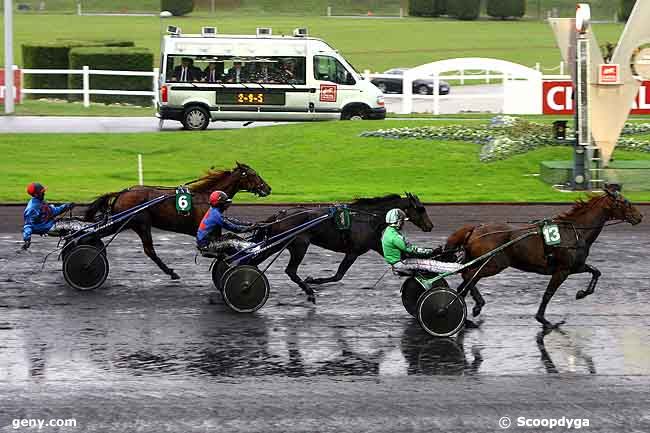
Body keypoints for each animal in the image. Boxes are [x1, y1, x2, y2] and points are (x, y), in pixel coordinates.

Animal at [83, 163, 270, 280]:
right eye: (254, 174)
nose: (268, 188)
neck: (207, 198)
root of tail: (122, 192)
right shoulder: (211, 233)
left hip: (127, 223)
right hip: (139, 223)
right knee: (149, 250)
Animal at [249, 192, 436, 300]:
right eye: (421, 209)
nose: (430, 226)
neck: (368, 218)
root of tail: (279, 215)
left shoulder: (375, 244)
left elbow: (404, 257)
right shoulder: (353, 252)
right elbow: (338, 275)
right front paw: (313, 280)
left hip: (277, 243)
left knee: (257, 260)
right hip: (299, 245)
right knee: (290, 270)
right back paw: (309, 291)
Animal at [442, 184, 640, 330]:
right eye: (624, 202)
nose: (640, 216)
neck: (574, 231)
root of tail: (476, 228)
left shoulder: (575, 266)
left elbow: (596, 272)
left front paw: (582, 293)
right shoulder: (562, 270)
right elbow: (548, 294)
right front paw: (543, 319)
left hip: (483, 262)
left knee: (466, 280)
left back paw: (472, 309)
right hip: (494, 264)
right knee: (468, 276)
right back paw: (460, 309)